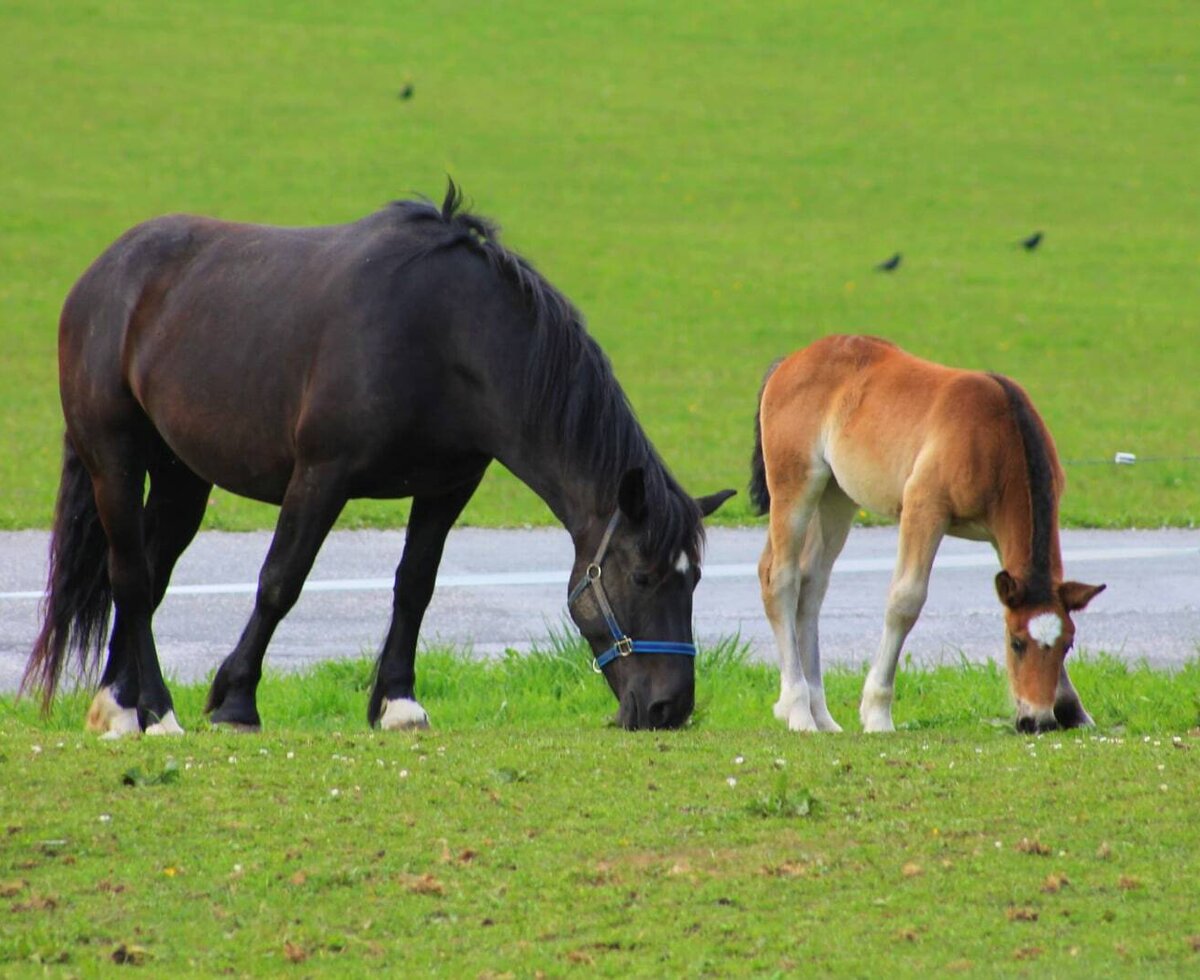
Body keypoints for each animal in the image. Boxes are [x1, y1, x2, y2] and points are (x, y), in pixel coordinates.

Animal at [22, 182, 734, 736]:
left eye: (695, 579)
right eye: (642, 577)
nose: (670, 708)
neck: (448, 334)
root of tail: (104, 273)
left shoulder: (448, 487)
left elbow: (414, 587)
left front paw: (397, 703)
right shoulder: (321, 476)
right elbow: (280, 581)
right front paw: (236, 700)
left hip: (181, 479)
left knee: (147, 572)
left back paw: (120, 703)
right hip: (113, 458)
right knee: (131, 575)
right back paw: (153, 710)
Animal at [750, 335, 1105, 734]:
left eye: (1068, 645)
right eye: (1015, 643)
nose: (1037, 720)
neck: (997, 434)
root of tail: (789, 361)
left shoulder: (1001, 537)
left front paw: (1074, 711)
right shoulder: (923, 509)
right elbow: (905, 601)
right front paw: (877, 714)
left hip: (836, 497)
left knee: (811, 585)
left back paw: (821, 716)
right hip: (794, 486)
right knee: (781, 578)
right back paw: (798, 712)